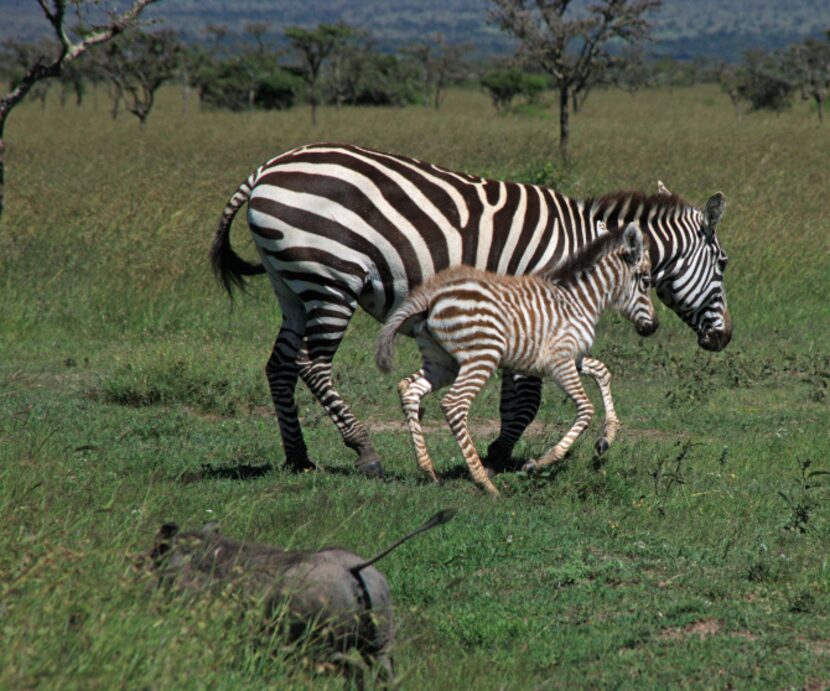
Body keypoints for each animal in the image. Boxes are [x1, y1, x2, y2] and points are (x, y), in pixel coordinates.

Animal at [376, 224, 656, 494]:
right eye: (646, 281)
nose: (653, 327)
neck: (579, 301)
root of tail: (430, 297)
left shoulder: (572, 358)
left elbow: (602, 371)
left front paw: (607, 436)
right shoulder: (561, 362)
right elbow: (586, 409)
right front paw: (540, 462)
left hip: (443, 363)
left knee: (410, 390)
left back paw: (429, 471)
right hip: (481, 358)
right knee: (454, 404)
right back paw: (483, 483)